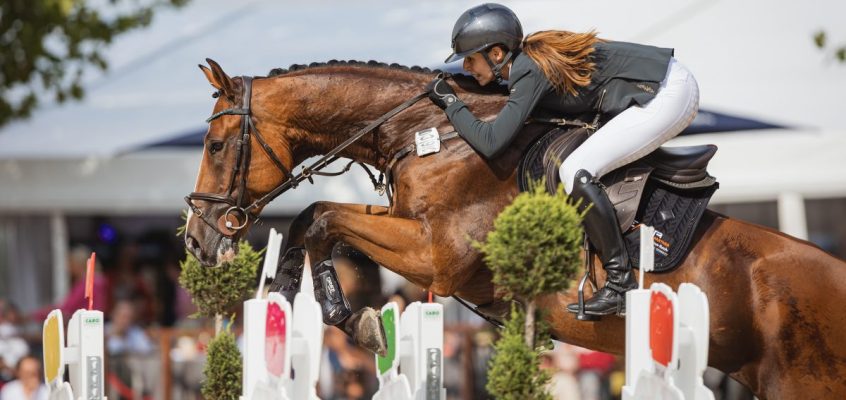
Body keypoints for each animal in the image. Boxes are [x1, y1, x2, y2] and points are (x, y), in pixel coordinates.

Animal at [184, 57, 846, 398]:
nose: (196, 239)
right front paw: (302, 293)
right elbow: (312, 218)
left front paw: (352, 318)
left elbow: (323, 216)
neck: (433, 136)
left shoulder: (437, 258)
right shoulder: (408, 232)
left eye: (215, 145)